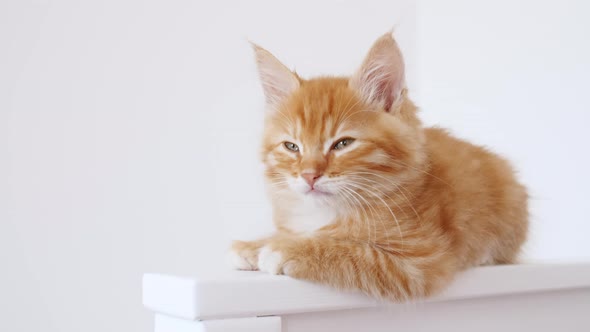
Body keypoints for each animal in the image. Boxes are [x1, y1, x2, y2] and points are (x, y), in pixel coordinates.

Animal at [229, 33, 528, 300]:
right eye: (292, 147)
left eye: (342, 144)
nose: (309, 175)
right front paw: (256, 244)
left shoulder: (419, 262)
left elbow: (352, 252)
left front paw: (285, 249)